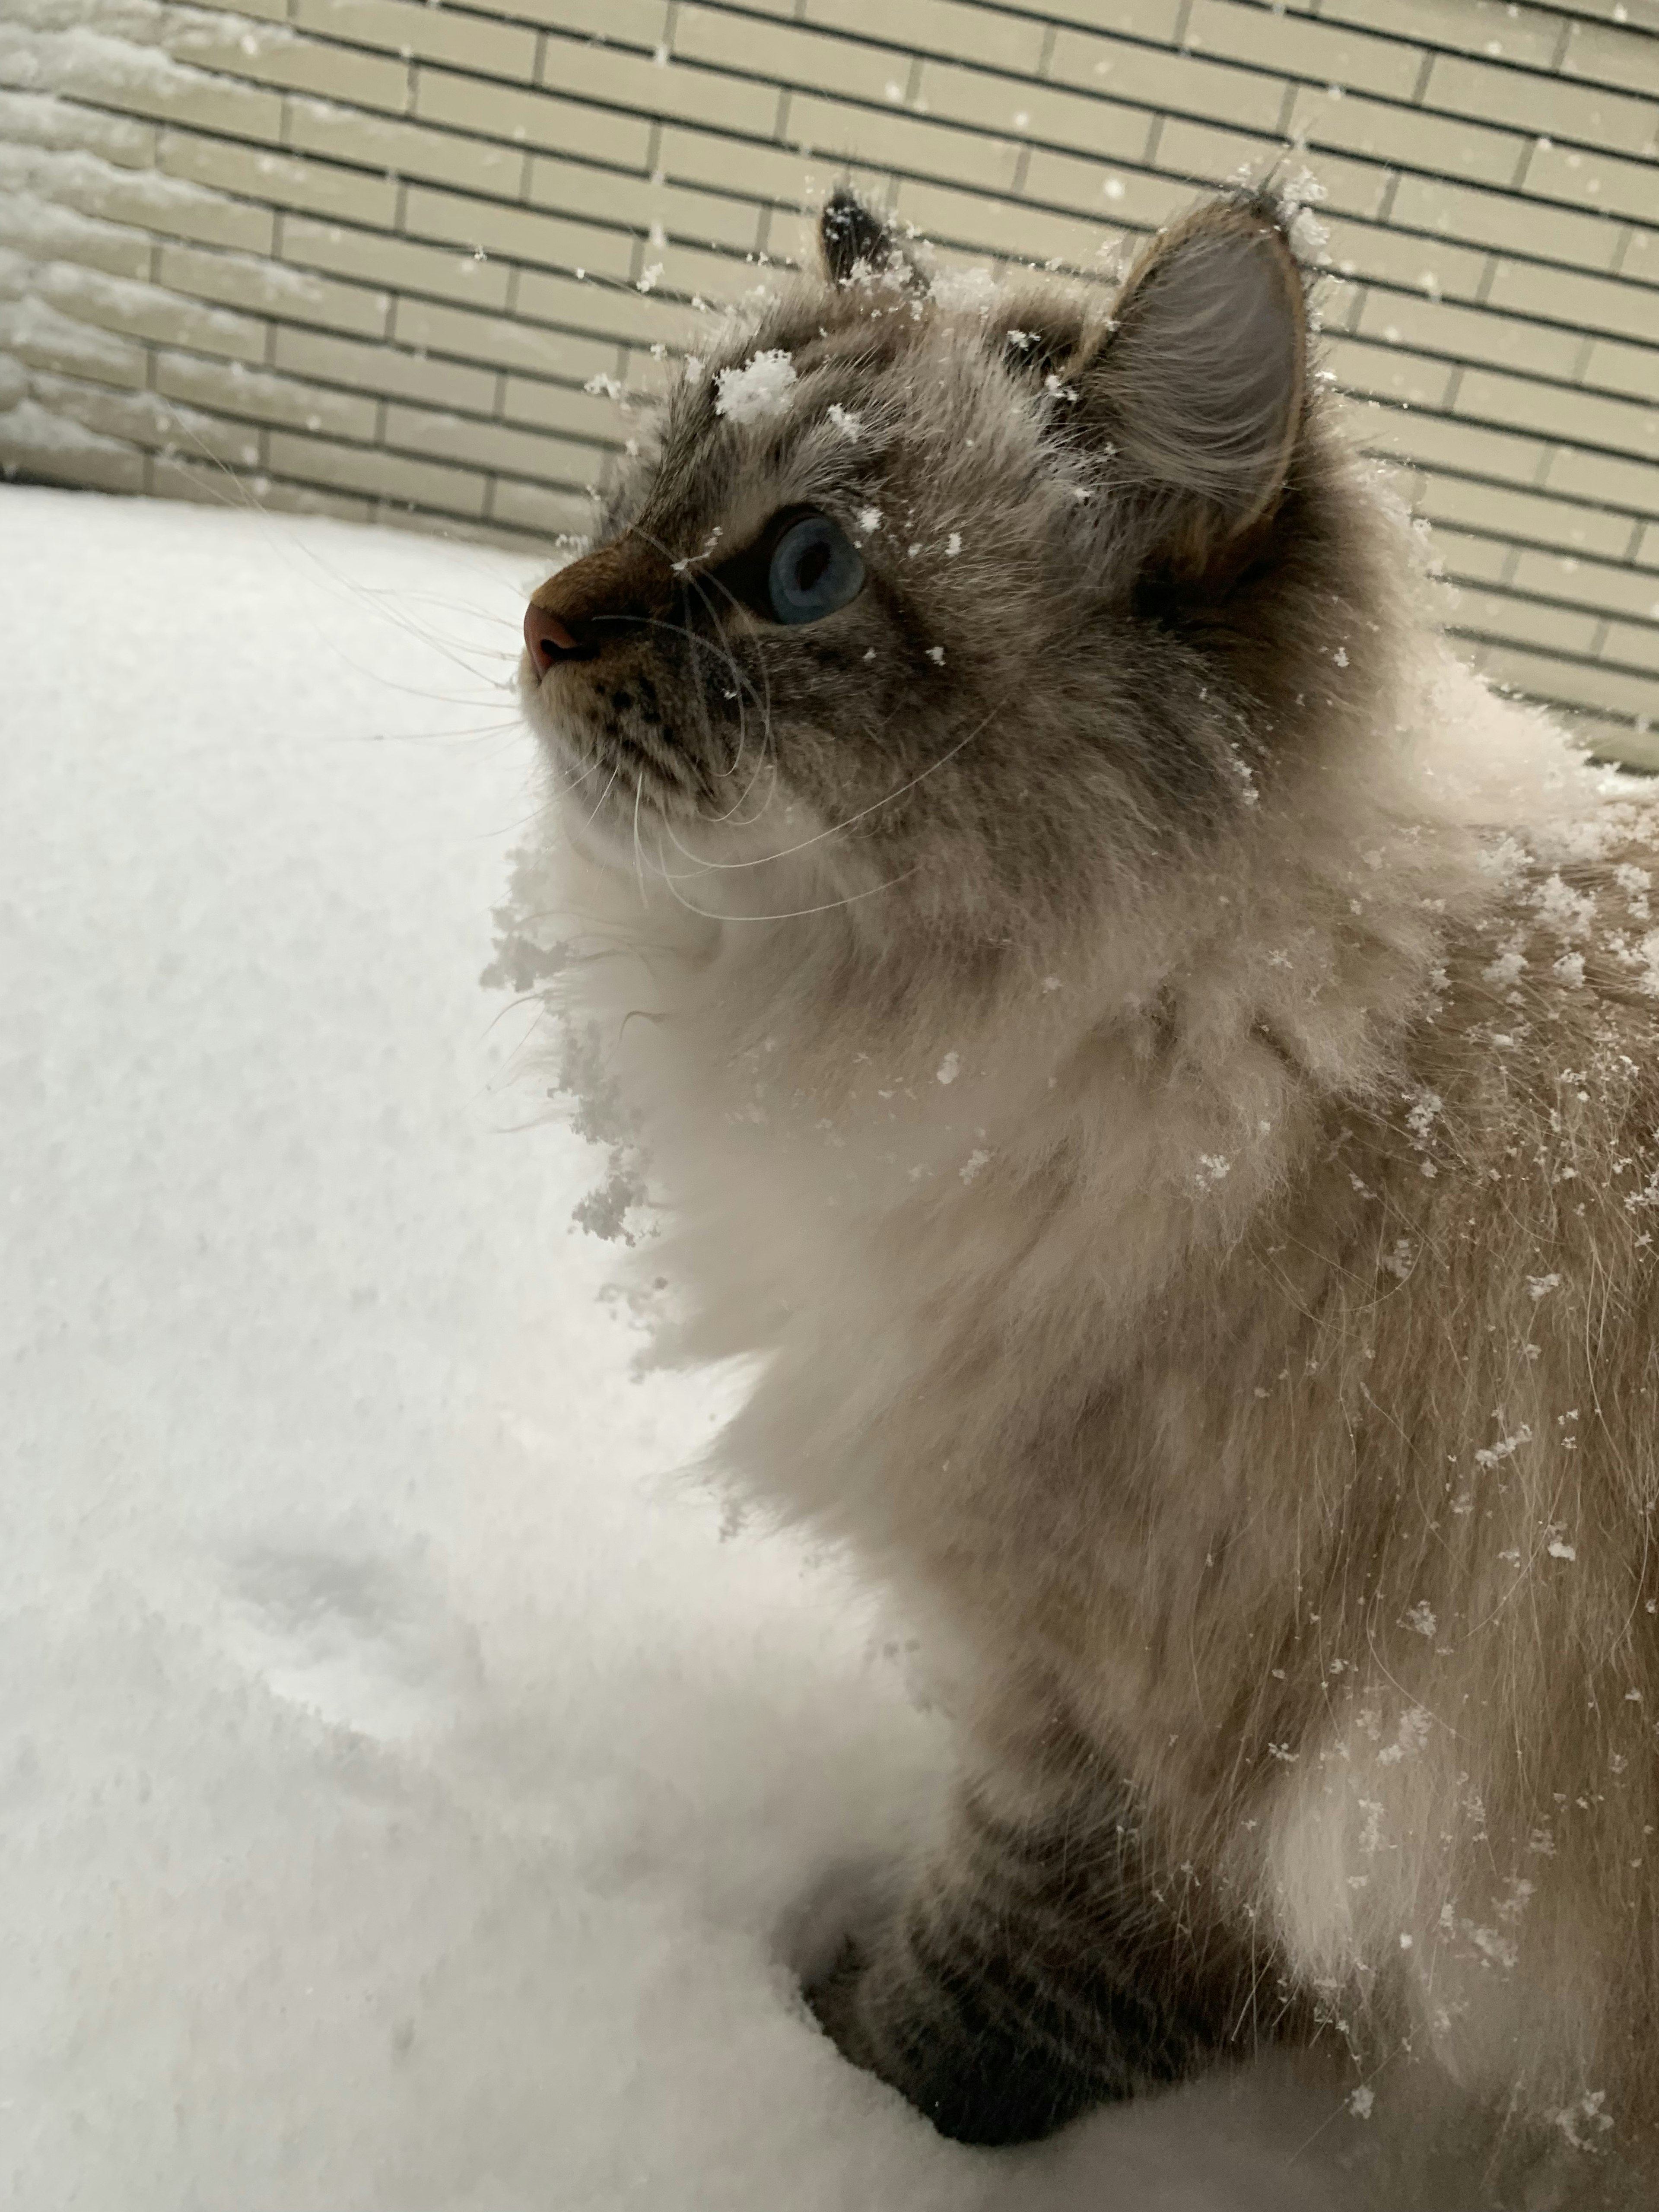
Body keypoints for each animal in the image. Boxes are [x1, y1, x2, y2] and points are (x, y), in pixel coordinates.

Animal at [511, 181, 1659, 2185]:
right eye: (646, 487)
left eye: (804, 571)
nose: (538, 617)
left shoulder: (1146, 1785)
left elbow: (956, 2020)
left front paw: (818, 2079)